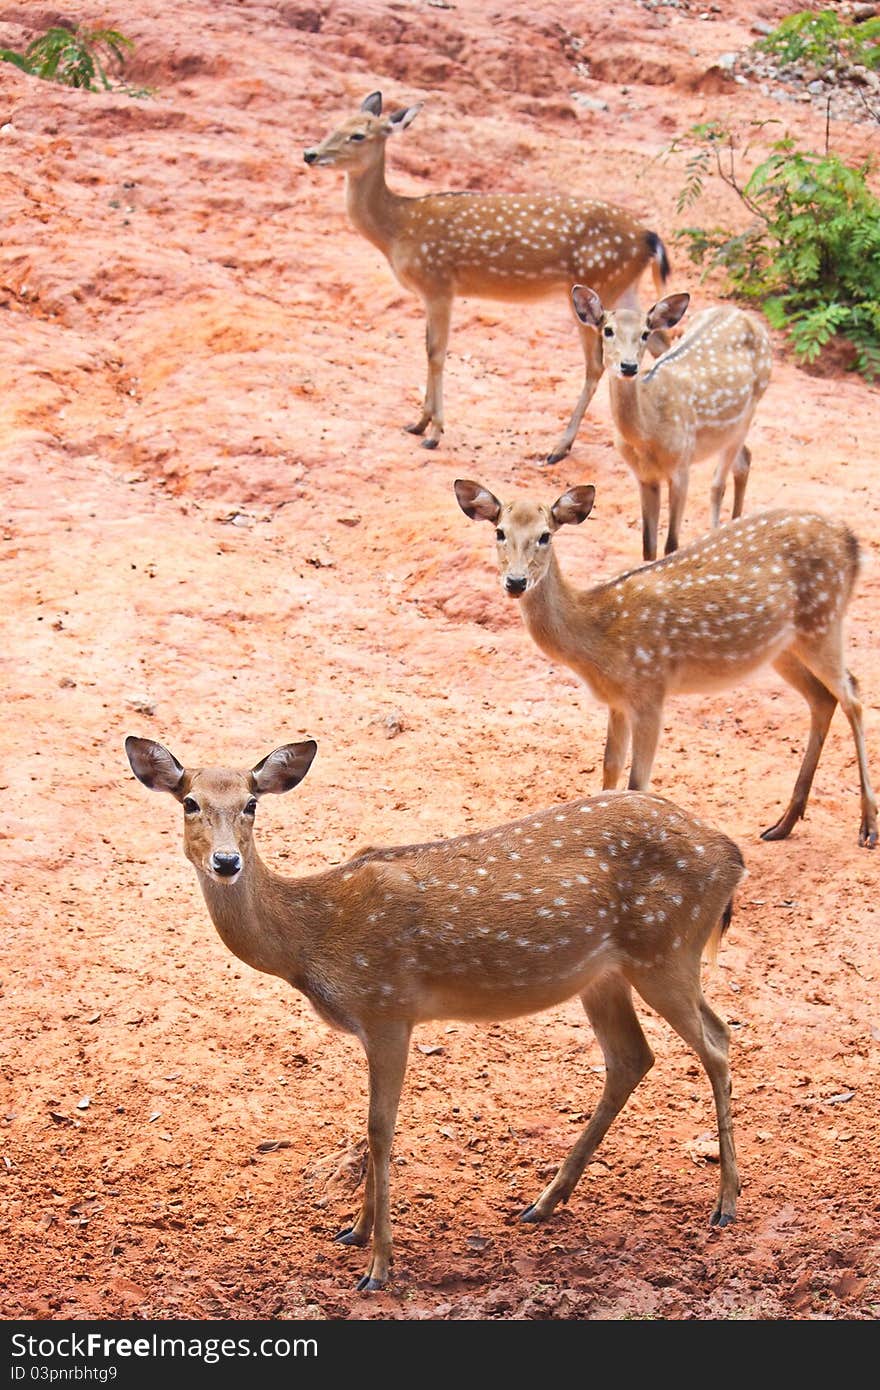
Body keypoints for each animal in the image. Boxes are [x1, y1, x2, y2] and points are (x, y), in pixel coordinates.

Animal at [127, 739, 745, 1289]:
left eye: (252, 803)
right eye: (190, 802)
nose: (226, 861)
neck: (310, 940)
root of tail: (731, 855)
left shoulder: (388, 1008)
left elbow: (379, 1129)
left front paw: (378, 1267)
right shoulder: (376, 1023)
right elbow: (370, 1128)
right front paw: (354, 1231)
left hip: (666, 948)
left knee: (716, 1039)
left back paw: (726, 1203)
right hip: (604, 974)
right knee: (632, 1057)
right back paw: (542, 1202)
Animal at [305, 92, 670, 461]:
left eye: (357, 135)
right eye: (335, 125)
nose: (310, 154)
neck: (398, 227)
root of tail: (648, 236)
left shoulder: (438, 283)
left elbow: (436, 351)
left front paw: (434, 432)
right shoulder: (431, 292)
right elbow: (428, 347)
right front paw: (418, 423)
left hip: (595, 282)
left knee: (597, 364)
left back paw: (559, 446)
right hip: (623, 286)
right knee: (657, 340)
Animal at [455, 478, 873, 845]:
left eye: (545, 535)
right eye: (499, 532)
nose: (515, 582)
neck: (595, 640)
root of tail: (852, 543)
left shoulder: (650, 691)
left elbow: (637, 782)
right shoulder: (617, 702)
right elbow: (609, 770)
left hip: (823, 620)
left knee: (853, 695)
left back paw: (868, 826)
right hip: (783, 647)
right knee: (823, 697)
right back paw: (783, 823)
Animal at [569, 284, 767, 561]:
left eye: (645, 333)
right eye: (608, 330)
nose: (628, 366)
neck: (647, 434)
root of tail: (745, 315)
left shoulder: (681, 467)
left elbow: (671, 543)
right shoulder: (644, 476)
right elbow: (648, 546)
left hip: (751, 407)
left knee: (719, 483)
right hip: (728, 431)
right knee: (744, 460)